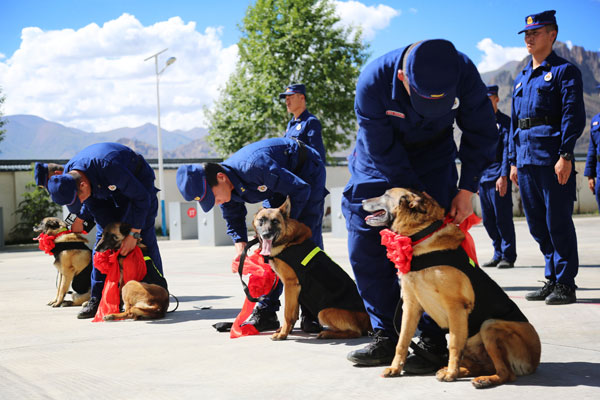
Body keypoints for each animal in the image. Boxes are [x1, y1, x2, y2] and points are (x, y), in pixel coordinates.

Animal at [252, 198, 370, 340]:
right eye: (261, 220)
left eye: (275, 221)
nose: (266, 235)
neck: (288, 242)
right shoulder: (294, 290)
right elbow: (293, 313)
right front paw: (286, 330)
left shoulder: (291, 285)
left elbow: (287, 313)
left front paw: (283, 334)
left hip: (323, 312)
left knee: (356, 332)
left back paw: (327, 333)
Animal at [364, 189, 540, 390]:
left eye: (385, 195)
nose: (361, 201)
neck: (420, 236)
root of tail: (535, 360)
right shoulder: (410, 306)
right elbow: (402, 341)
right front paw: (395, 368)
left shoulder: (455, 307)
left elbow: (454, 344)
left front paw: (451, 373)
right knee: (481, 366)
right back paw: (458, 370)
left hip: (489, 326)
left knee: (506, 373)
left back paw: (481, 379)